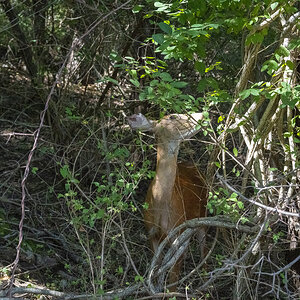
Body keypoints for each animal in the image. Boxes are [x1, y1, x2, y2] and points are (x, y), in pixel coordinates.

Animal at [127, 112, 207, 290]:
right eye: (172, 116)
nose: (202, 114)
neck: (160, 204)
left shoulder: (177, 235)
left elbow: (172, 283)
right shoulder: (151, 234)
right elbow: (156, 271)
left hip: (202, 213)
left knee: (203, 245)